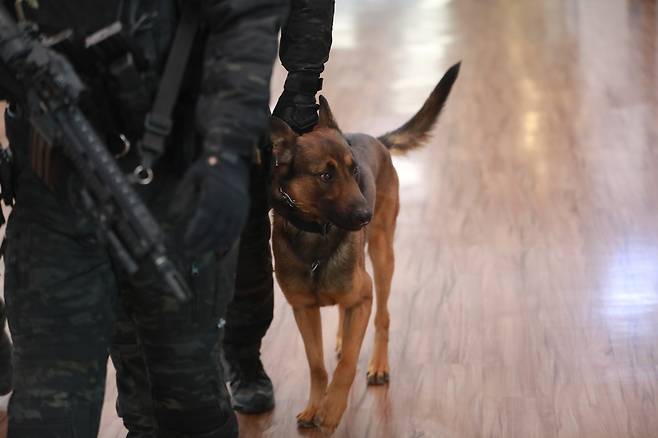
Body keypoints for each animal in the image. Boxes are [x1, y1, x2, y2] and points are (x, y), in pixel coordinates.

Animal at [270, 62, 458, 434]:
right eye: (325, 175)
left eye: (353, 170)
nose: (365, 215)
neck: (316, 235)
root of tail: (376, 139)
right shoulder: (304, 310)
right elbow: (317, 366)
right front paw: (315, 406)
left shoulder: (363, 296)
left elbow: (346, 366)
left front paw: (331, 410)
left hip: (383, 258)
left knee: (382, 317)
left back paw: (379, 365)